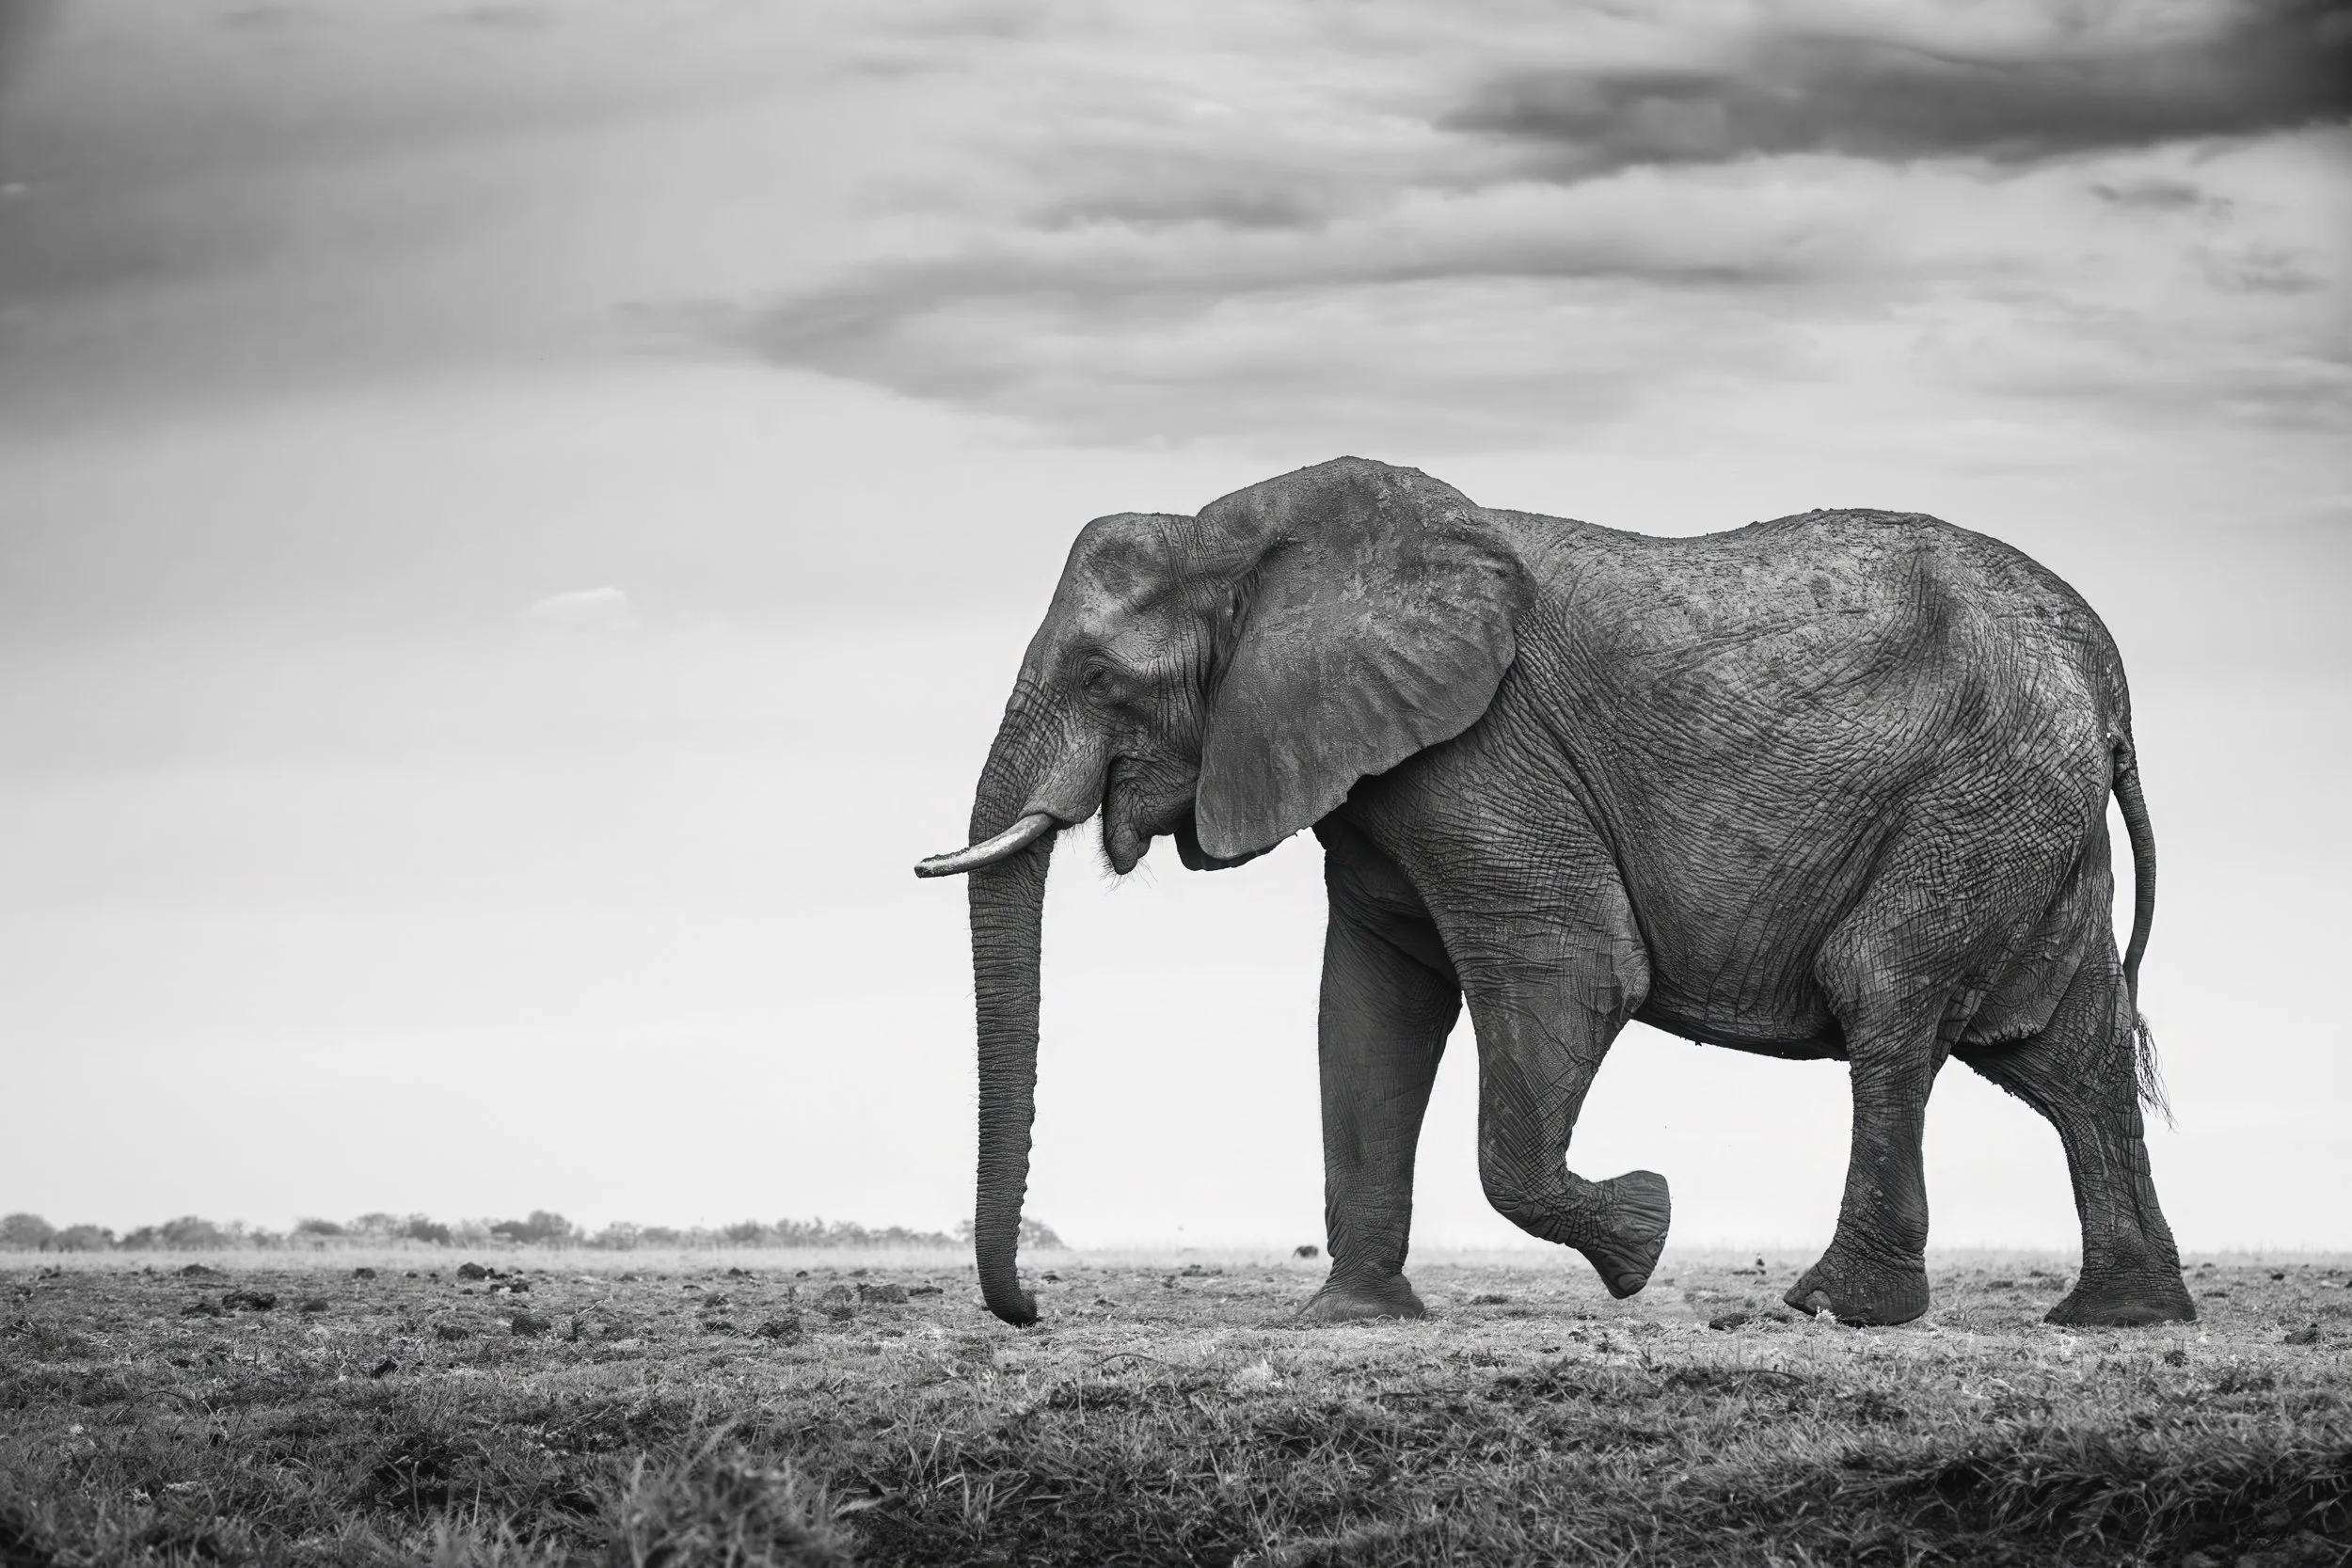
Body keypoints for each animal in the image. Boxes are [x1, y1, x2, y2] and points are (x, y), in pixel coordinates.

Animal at [915, 457, 2195, 1332]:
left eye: (1100, 678)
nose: (1030, 1309)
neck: (1252, 533)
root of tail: (2103, 669)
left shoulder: (1479, 759)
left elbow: (1571, 967)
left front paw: (1643, 1231)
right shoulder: (1382, 774)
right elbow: (1369, 1006)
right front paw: (1352, 1318)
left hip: (1978, 792)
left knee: (1885, 989)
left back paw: (1834, 1307)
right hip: (2025, 811)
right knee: (2066, 1050)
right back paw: (2119, 1315)